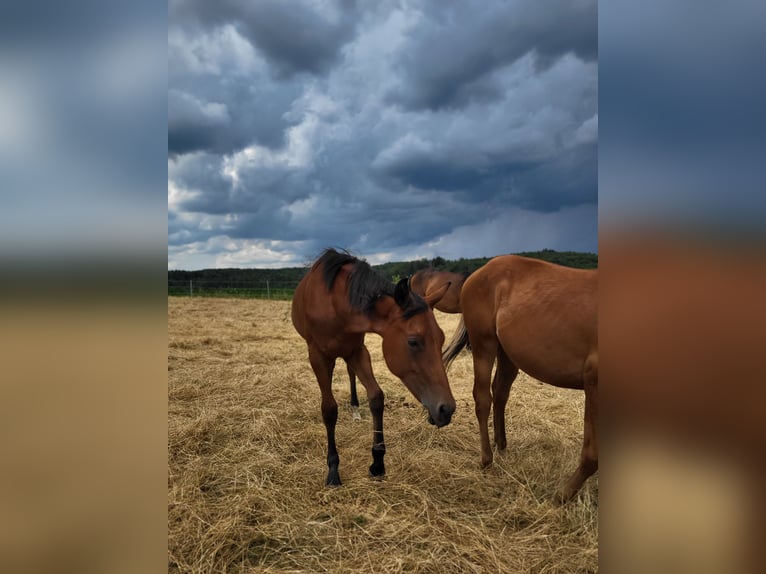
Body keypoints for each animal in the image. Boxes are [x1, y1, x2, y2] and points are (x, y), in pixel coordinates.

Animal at [292, 248, 456, 486]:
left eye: (441, 338)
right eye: (413, 341)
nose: (447, 409)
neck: (336, 304)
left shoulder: (358, 350)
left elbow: (376, 397)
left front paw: (378, 463)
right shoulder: (318, 357)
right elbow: (329, 409)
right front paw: (333, 469)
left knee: (350, 374)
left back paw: (354, 408)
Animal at [443, 255, 597, 503]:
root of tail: (480, 272)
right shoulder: (594, 384)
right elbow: (592, 455)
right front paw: (562, 496)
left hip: (507, 354)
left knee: (500, 393)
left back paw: (501, 445)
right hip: (484, 345)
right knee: (483, 399)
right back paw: (487, 459)